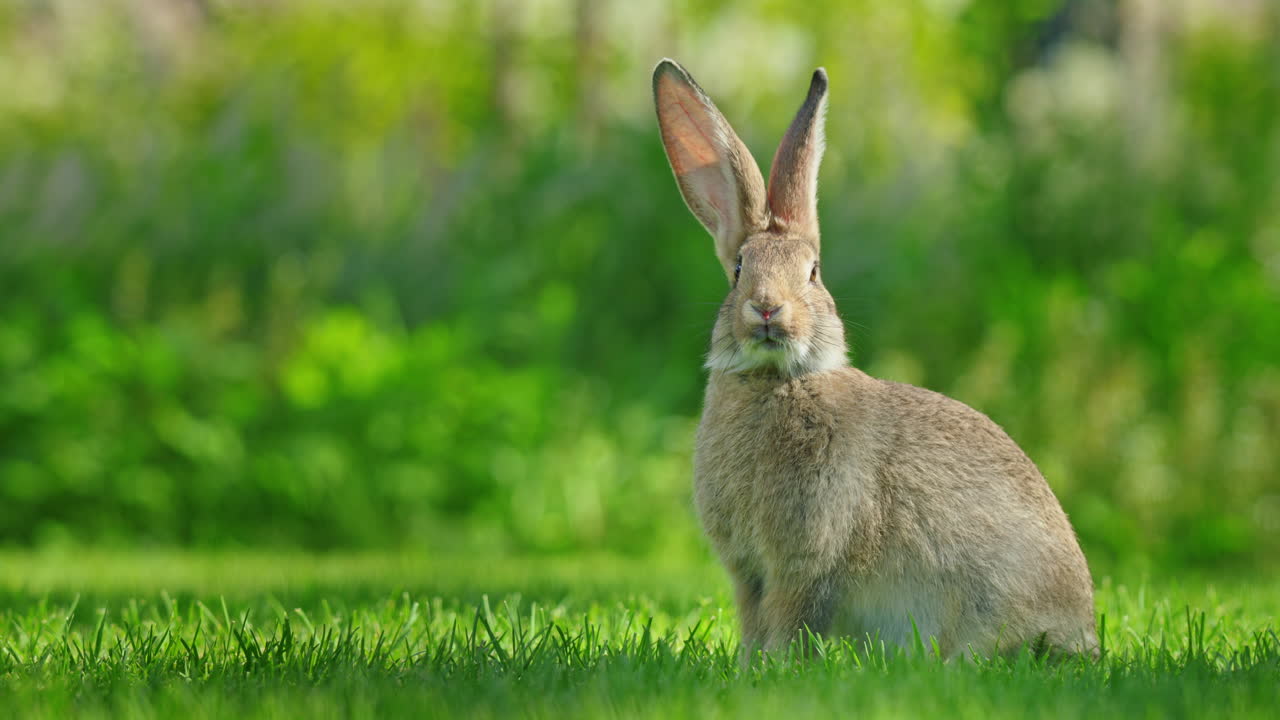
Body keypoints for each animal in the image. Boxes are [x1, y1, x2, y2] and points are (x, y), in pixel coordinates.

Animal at [652, 58, 1098, 660]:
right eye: (740, 268)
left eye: (813, 272)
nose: (767, 307)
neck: (778, 380)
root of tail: (1084, 627)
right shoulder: (750, 573)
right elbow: (754, 625)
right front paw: (749, 667)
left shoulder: (805, 564)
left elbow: (791, 622)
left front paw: (775, 668)